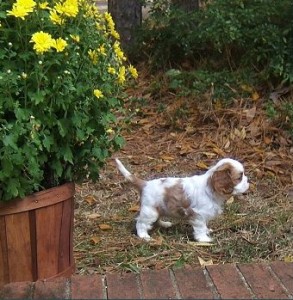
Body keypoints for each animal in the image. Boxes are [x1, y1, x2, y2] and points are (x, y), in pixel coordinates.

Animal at [115, 158, 248, 243]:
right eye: (239, 177)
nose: (248, 181)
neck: (210, 187)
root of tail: (145, 184)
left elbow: (205, 225)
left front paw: (207, 231)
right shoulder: (198, 215)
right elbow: (200, 227)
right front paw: (203, 239)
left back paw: (164, 224)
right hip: (150, 212)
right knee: (140, 223)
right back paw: (144, 236)